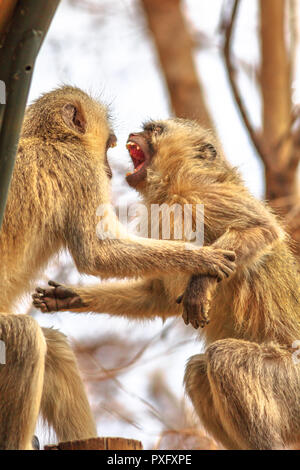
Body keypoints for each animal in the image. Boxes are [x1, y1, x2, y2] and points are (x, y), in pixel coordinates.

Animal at [0, 86, 234, 450]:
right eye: (108, 145)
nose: (110, 170)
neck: (47, 137)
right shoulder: (80, 170)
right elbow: (97, 254)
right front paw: (202, 259)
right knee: (24, 337)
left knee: (50, 347)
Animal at [34, 119, 300, 450]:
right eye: (144, 128)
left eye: (155, 130)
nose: (134, 134)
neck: (174, 186)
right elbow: (158, 296)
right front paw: (70, 296)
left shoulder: (205, 195)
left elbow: (261, 228)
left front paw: (201, 282)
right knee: (199, 372)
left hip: (291, 382)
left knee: (225, 359)